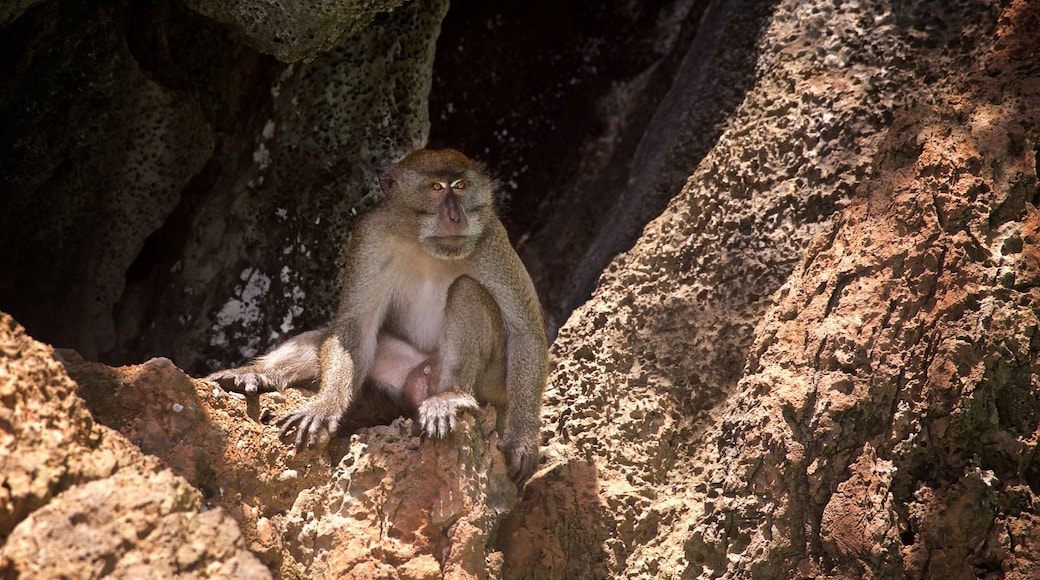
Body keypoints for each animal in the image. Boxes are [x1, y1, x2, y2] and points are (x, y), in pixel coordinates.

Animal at [209, 147, 553, 484]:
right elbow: (353, 326)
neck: (423, 243)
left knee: (467, 291)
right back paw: (255, 375)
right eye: (436, 187)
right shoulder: (370, 236)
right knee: (329, 338)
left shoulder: (494, 239)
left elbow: (526, 332)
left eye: (460, 186)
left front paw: (522, 440)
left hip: (492, 385)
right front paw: (325, 406)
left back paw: (451, 397)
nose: (456, 216)